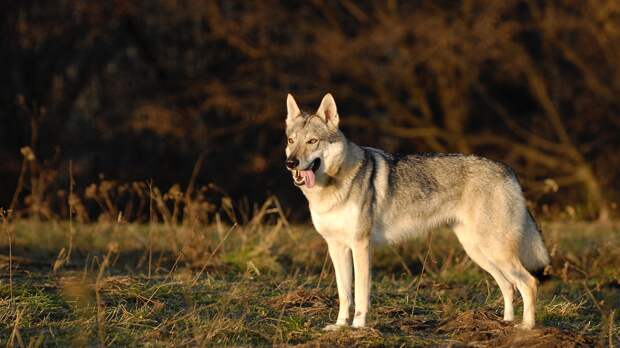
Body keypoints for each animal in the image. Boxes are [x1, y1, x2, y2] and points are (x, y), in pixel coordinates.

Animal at [284, 92, 548, 328]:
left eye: (312, 141)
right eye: (291, 141)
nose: (291, 163)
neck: (330, 187)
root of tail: (509, 170)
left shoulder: (361, 246)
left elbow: (359, 295)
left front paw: (357, 327)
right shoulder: (336, 247)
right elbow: (344, 295)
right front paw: (339, 326)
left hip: (493, 250)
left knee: (529, 282)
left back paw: (526, 328)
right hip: (478, 251)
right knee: (509, 285)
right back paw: (505, 323)